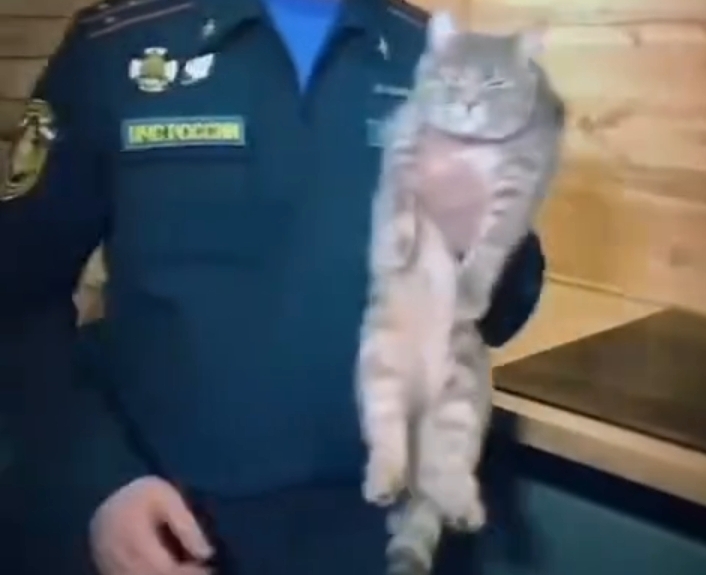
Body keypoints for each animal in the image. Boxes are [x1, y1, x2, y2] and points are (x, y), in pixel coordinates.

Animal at [355, 10, 564, 575]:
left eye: (494, 83)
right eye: (451, 77)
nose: (468, 102)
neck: (470, 148)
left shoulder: (523, 181)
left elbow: (492, 246)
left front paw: (469, 290)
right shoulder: (404, 140)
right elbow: (397, 197)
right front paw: (392, 248)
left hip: (461, 390)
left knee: (446, 470)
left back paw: (460, 505)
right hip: (378, 366)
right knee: (389, 439)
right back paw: (384, 480)